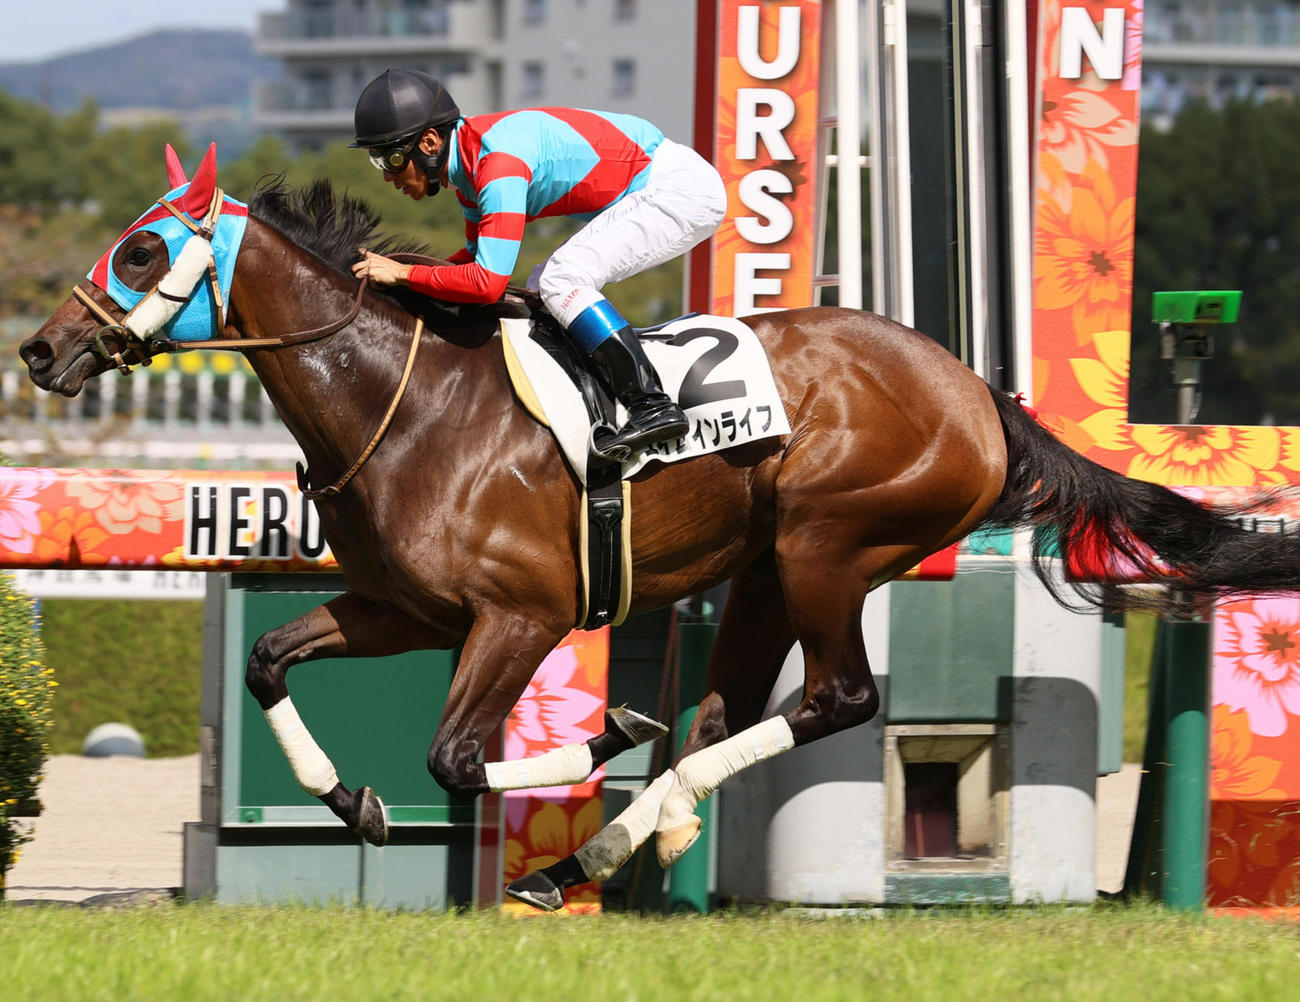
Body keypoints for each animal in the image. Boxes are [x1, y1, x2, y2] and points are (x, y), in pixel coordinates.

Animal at [21, 145, 1300, 911]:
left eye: (142, 247)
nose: (40, 348)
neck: (411, 404)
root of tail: (978, 391)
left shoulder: (522, 615)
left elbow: (458, 757)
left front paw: (596, 736)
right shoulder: (401, 608)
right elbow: (269, 659)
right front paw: (352, 802)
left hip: (828, 546)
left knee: (838, 698)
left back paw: (609, 832)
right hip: (766, 571)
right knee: (731, 710)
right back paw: (621, 843)